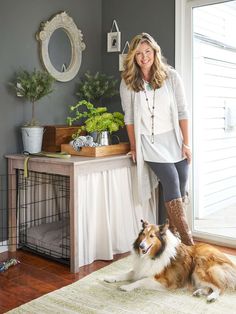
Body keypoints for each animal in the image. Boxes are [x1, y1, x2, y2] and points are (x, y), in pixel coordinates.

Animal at [104, 218, 236, 302]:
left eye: (151, 236)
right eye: (143, 234)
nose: (141, 246)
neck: (154, 255)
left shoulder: (163, 280)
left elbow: (140, 281)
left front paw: (126, 287)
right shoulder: (140, 269)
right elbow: (126, 273)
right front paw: (110, 278)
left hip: (199, 269)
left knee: (220, 287)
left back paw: (211, 297)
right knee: (209, 287)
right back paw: (199, 292)